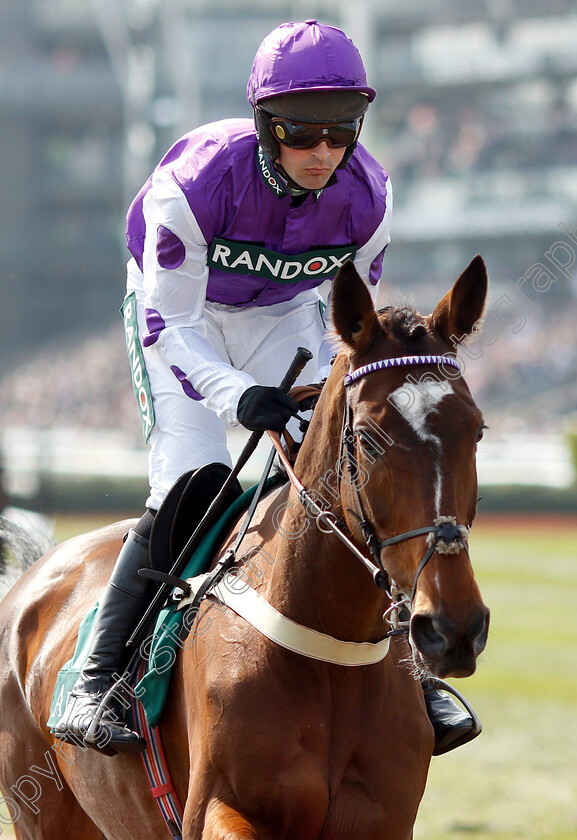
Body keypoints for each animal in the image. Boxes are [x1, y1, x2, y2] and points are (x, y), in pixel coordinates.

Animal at [0, 258, 488, 840]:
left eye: (477, 430)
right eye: (370, 438)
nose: (453, 627)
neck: (330, 651)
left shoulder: (385, 819)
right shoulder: (215, 806)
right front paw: (259, 404)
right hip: (41, 809)